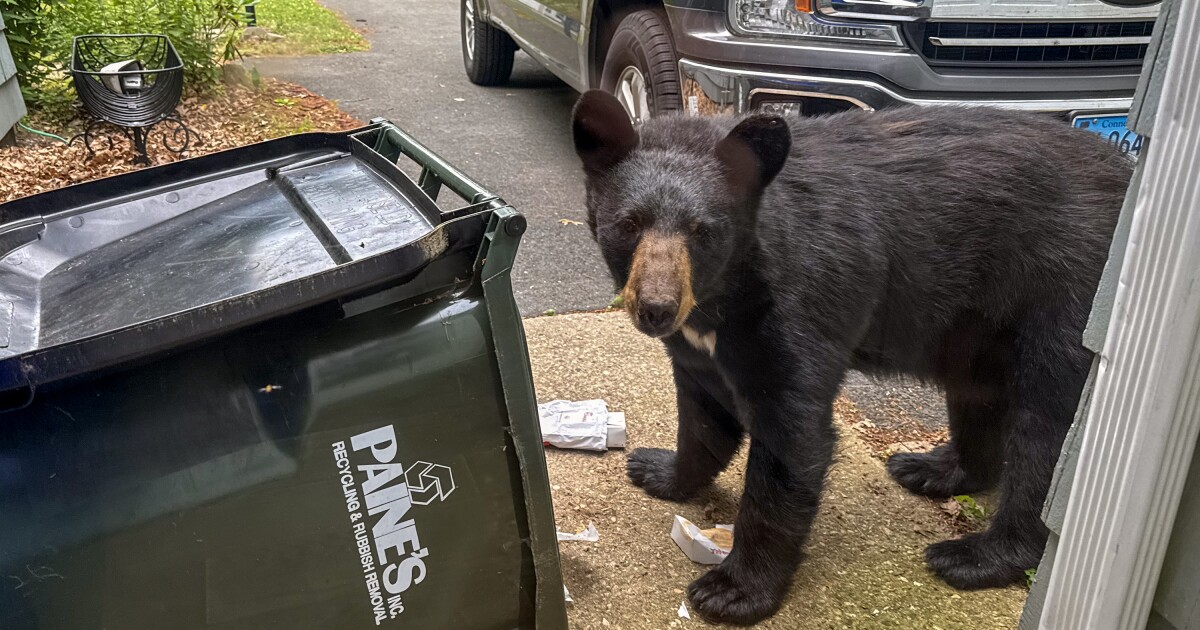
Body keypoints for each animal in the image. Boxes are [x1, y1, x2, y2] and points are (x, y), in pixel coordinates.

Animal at [570, 89, 1133, 625]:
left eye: (702, 230)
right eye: (629, 223)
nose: (657, 309)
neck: (723, 296)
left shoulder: (800, 300)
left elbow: (792, 437)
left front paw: (733, 591)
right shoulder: (701, 344)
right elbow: (704, 412)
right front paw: (659, 471)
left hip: (1065, 289)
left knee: (1047, 438)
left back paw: (975, 555)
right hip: (975, 325)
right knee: (977, 392)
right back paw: (934, 469)